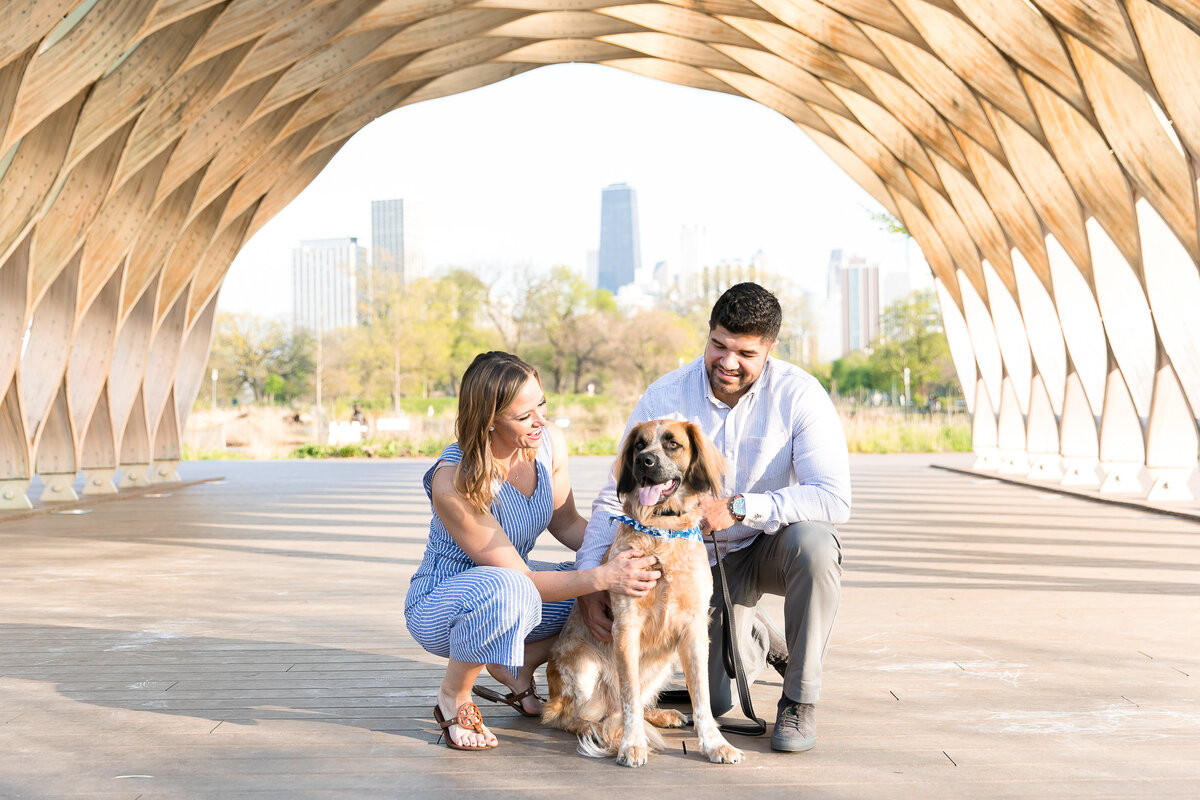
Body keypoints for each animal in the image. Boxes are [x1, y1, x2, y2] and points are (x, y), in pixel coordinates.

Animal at [542, 422, 739, 767]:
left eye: (673, 444)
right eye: (638, 445)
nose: (644, 461)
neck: (663, 530)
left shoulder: (694, 630)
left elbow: (701, 698)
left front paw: (715, 744)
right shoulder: (626, 627)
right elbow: (630, 696)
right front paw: (631, 744)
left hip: (667, 660)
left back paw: (660, 715)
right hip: (582, 665)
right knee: (571, 716)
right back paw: (595, 727)